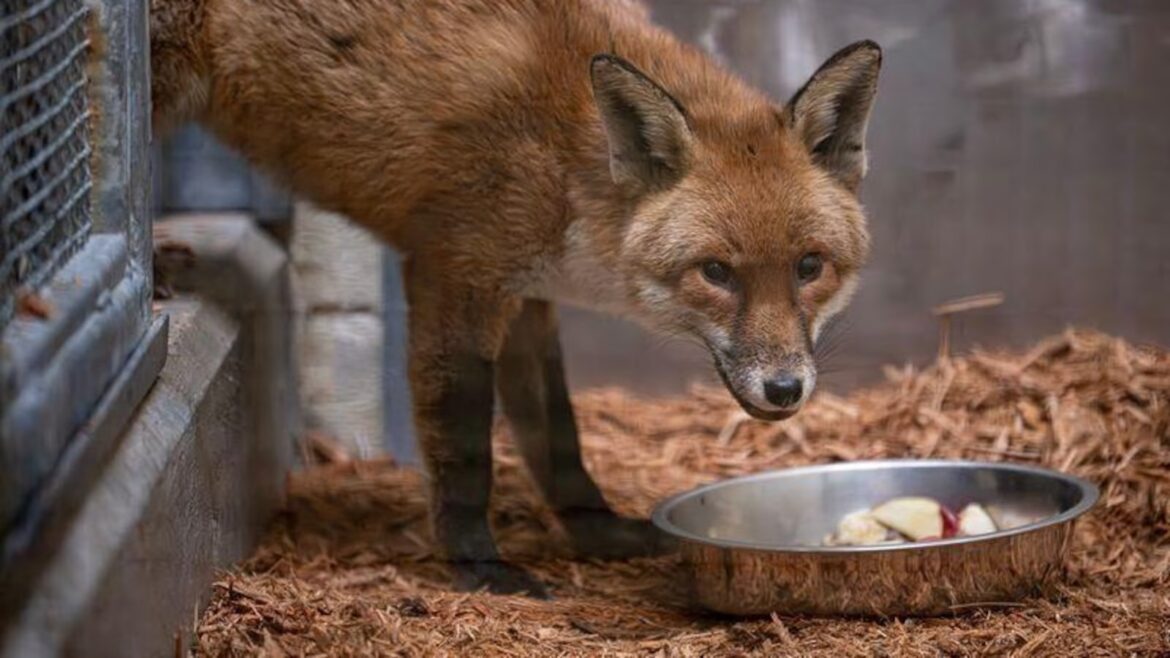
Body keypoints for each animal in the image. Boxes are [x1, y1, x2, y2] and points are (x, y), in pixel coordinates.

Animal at [150, 0, 881, 596]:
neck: (568, 158)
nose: (785, 389)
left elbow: (558, 438)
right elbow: (466, 448)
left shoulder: (528, 298)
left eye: (809, 267)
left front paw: (599, 534)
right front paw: (480, 567)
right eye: (717, 273)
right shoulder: (455, 277)